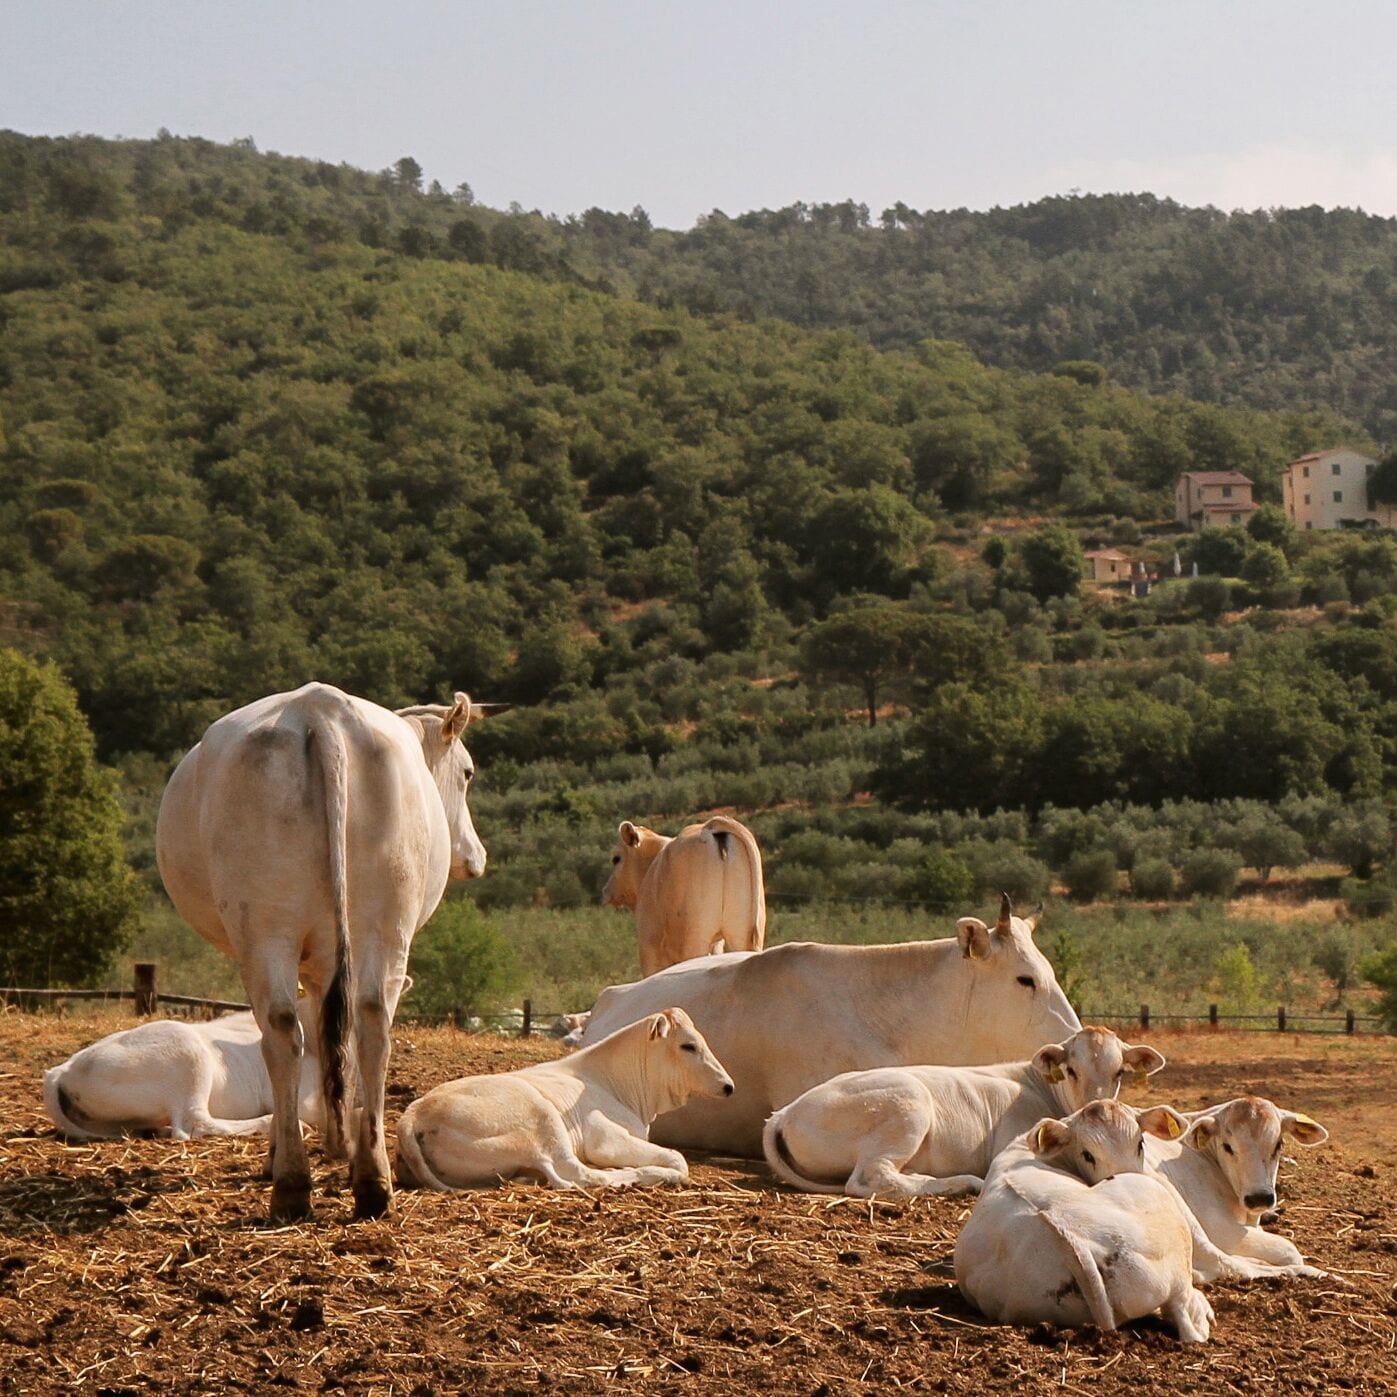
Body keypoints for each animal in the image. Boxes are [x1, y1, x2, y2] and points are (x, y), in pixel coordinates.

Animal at [156, 682, 506, 1221]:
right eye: (467, 772)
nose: (476, 857)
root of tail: (319, 710)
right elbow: (332, 1040)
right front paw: (339, 1141)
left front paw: (322, 1143)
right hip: (384, 925)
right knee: (370, 1024)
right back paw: (371, 1179)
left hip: (266, 931)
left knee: (281, 1031)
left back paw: (292, 1181)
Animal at [396, 1007, 733, 1191]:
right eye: (688, 1045)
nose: (729, 1086)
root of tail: (414, 1112)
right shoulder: (604, 1139)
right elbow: (678, 1159)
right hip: (544, 1120)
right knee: (577, 1174)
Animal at [603, 816, 766, 976]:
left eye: (616, 859)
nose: (606, 891)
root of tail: (709, 826)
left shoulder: (648, 947)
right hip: (743, 936)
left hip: (693, 940)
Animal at [763, 1025, 1166, 1197]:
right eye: (1070, 1070)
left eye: (1119, 1072)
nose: (1093, 1106)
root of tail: (785, 1112)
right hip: (908, 1104)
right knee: (871, 1177)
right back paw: (959, 1183)